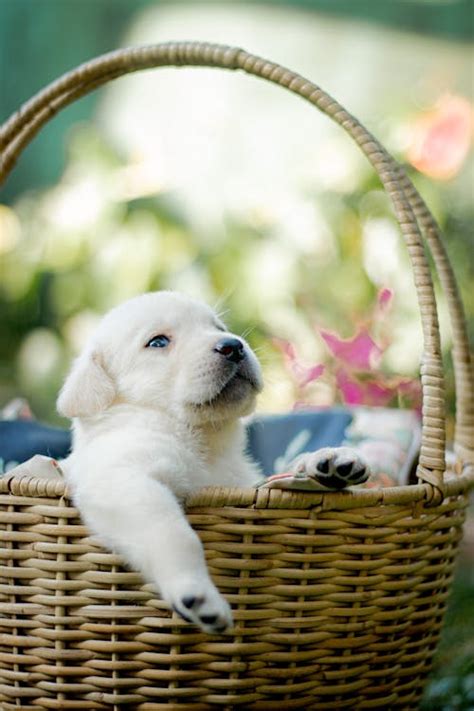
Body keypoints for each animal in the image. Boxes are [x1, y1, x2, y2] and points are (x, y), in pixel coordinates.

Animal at [55, 292, 366, 636]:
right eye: (158, 342)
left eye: (218, 328)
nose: (233, 345)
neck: (204, 441)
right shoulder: (123, 480)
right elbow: (175, 533)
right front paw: (197, 593)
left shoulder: (243, 483)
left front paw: (326, 461)